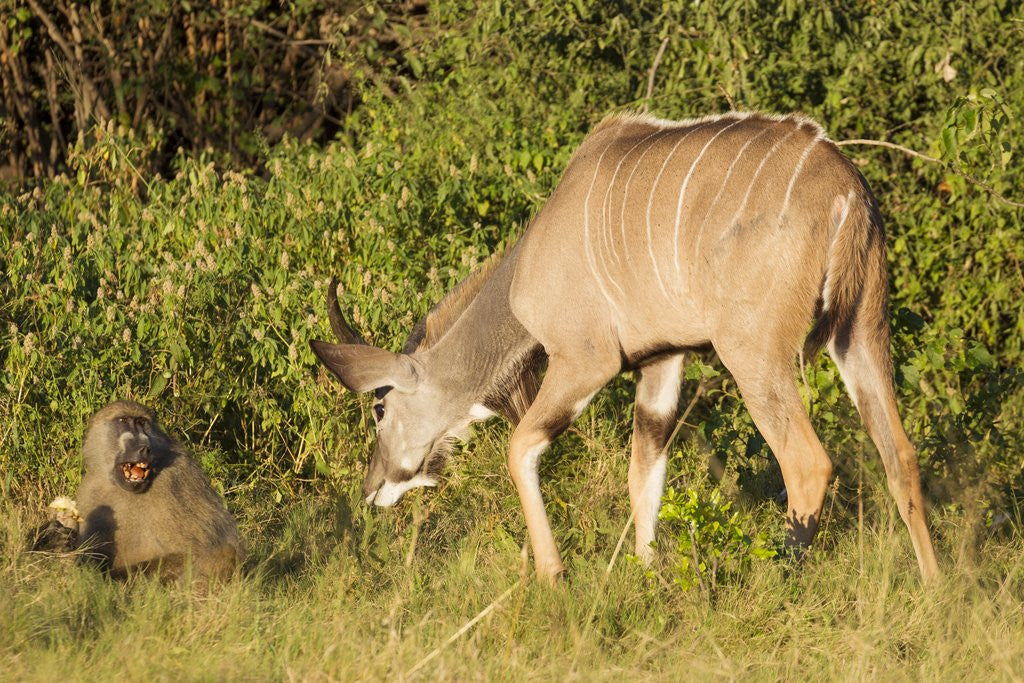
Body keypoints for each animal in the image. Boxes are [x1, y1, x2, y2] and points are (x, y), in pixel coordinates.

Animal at [74, 400, 244, 583]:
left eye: (142, 422)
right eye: (123, 420)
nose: (144, 448)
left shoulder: (172, 481)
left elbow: (191, 553)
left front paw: (110, 577)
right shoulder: (91, 488)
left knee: (225, 551)